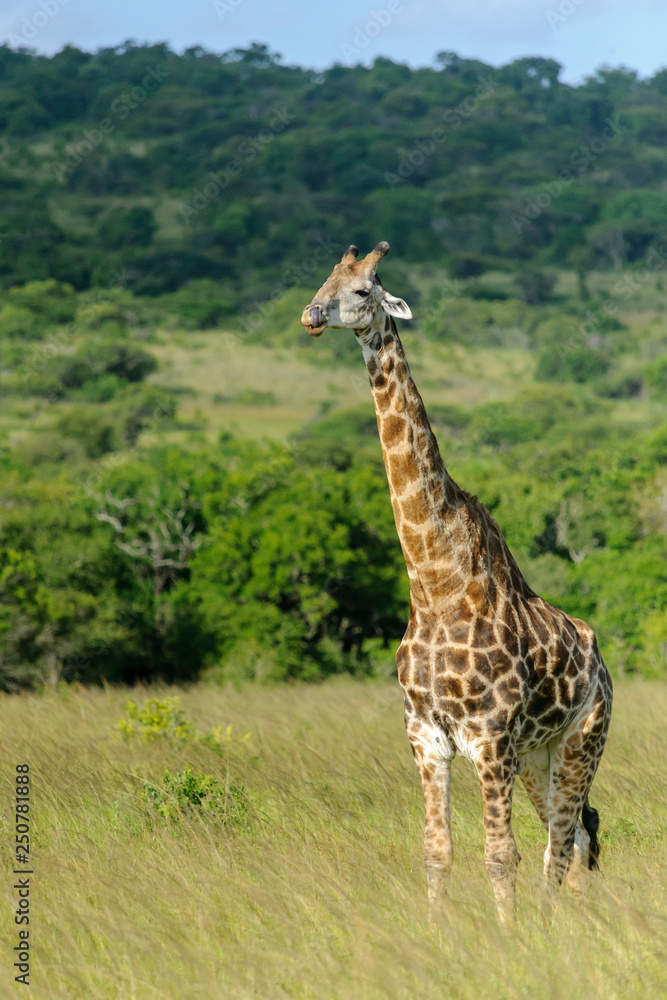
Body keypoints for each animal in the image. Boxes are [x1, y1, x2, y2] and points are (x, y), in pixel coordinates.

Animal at [300, 240, 612, 920]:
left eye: (361, 291)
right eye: (324, 280)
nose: (311, 315)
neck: (435, 585)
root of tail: (602, 665)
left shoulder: (490, 737)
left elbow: (499, 855)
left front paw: (507, 936)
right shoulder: (426, 737)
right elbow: (437, 852)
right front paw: (440, 931)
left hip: (581, 739)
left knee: (562, 839)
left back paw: (556, 923)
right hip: (537, 754)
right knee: (573, 836)